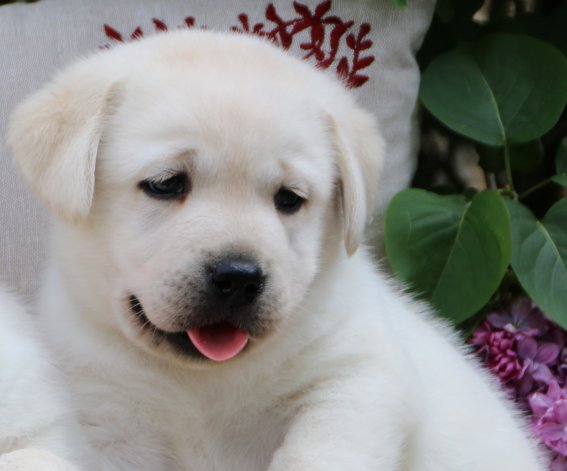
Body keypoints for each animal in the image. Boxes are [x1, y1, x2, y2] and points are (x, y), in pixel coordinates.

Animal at [6, 30, 544, 470]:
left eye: (289, 199)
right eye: (165, 184)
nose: (238, 276)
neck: (203, 386)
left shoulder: (356, 379)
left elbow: (320, 451)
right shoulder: (107, 419)